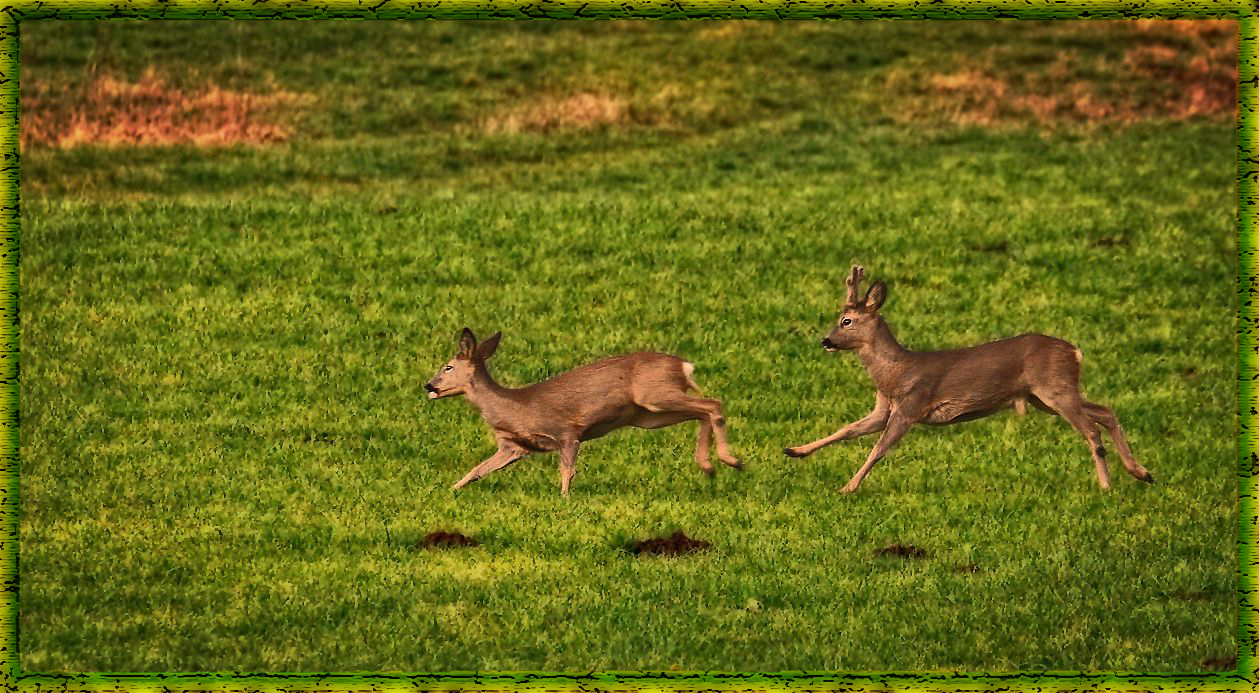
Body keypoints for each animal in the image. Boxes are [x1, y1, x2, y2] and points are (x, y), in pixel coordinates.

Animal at [428, 327, 740, 496]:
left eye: (448, 366)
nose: (428, 385)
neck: (513, 407)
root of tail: (684, 366)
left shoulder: (566, 431)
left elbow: (567, 471)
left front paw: (564, 500)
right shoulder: (513, 446)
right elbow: (477, 470)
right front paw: (450, 489)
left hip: (655, 396)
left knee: (713, 404)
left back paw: (731, 460)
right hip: (650, 415)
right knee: (703, 411)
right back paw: (709, 466)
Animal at [780, 264, 1153, 493]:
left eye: (846, 321)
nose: (826, 341)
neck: (895, 372)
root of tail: (1075, 352)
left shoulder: (911, 405)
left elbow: (878, 449)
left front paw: (848, 487)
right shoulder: (883, 408)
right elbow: (846, 430)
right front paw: (794, 450)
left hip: (1054, 389)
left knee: (1091, 428)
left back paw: (1106, 485)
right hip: (1045, 397)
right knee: (1105, 412)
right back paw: (1142, 473)